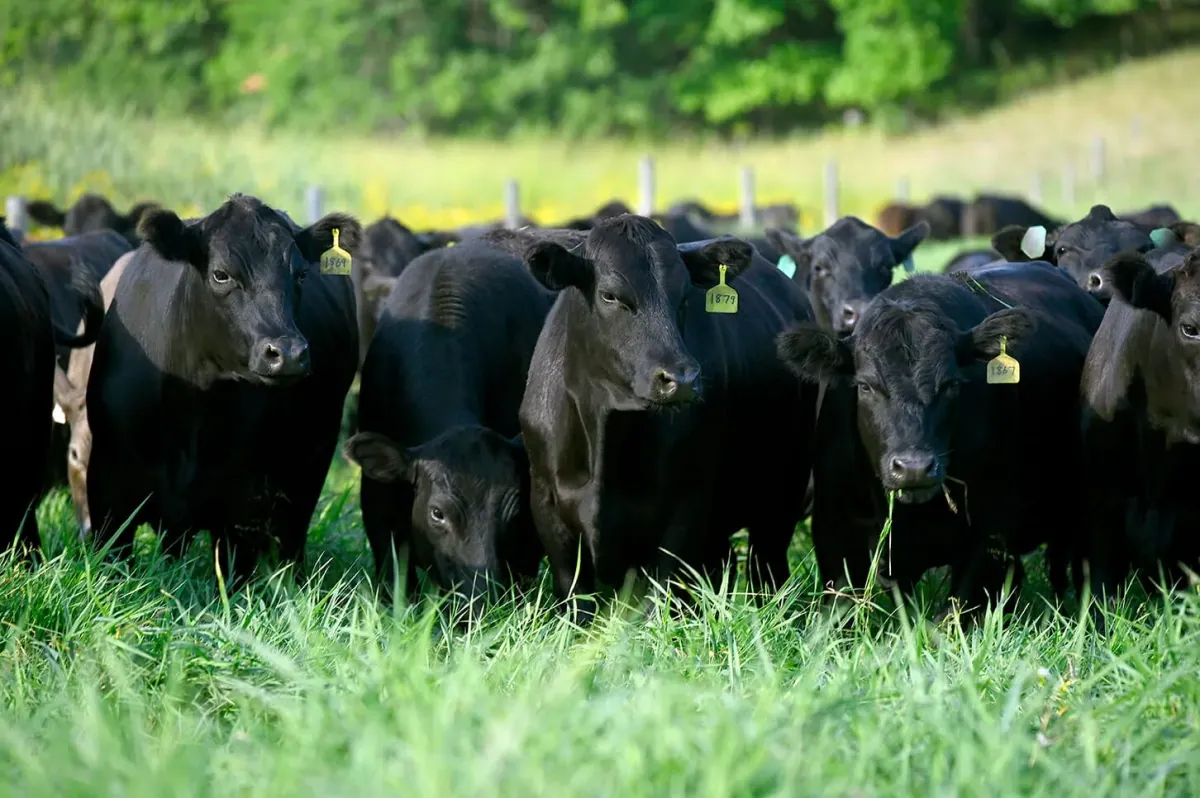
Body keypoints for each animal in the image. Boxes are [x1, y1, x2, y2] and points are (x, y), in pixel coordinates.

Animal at [85, 194, 360, 587]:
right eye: (221, 274)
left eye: (301, 274)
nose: (288, 353)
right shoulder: (109, 493)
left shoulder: (243, 507)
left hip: (310, 465)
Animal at [492, 216, 818, 622]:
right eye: (610, 296)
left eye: (685, 297)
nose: (681, 379)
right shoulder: (548, 508)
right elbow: (575, 599)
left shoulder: (686, 505)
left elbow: (659, 600)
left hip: (782, 494)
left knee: (767, 569)